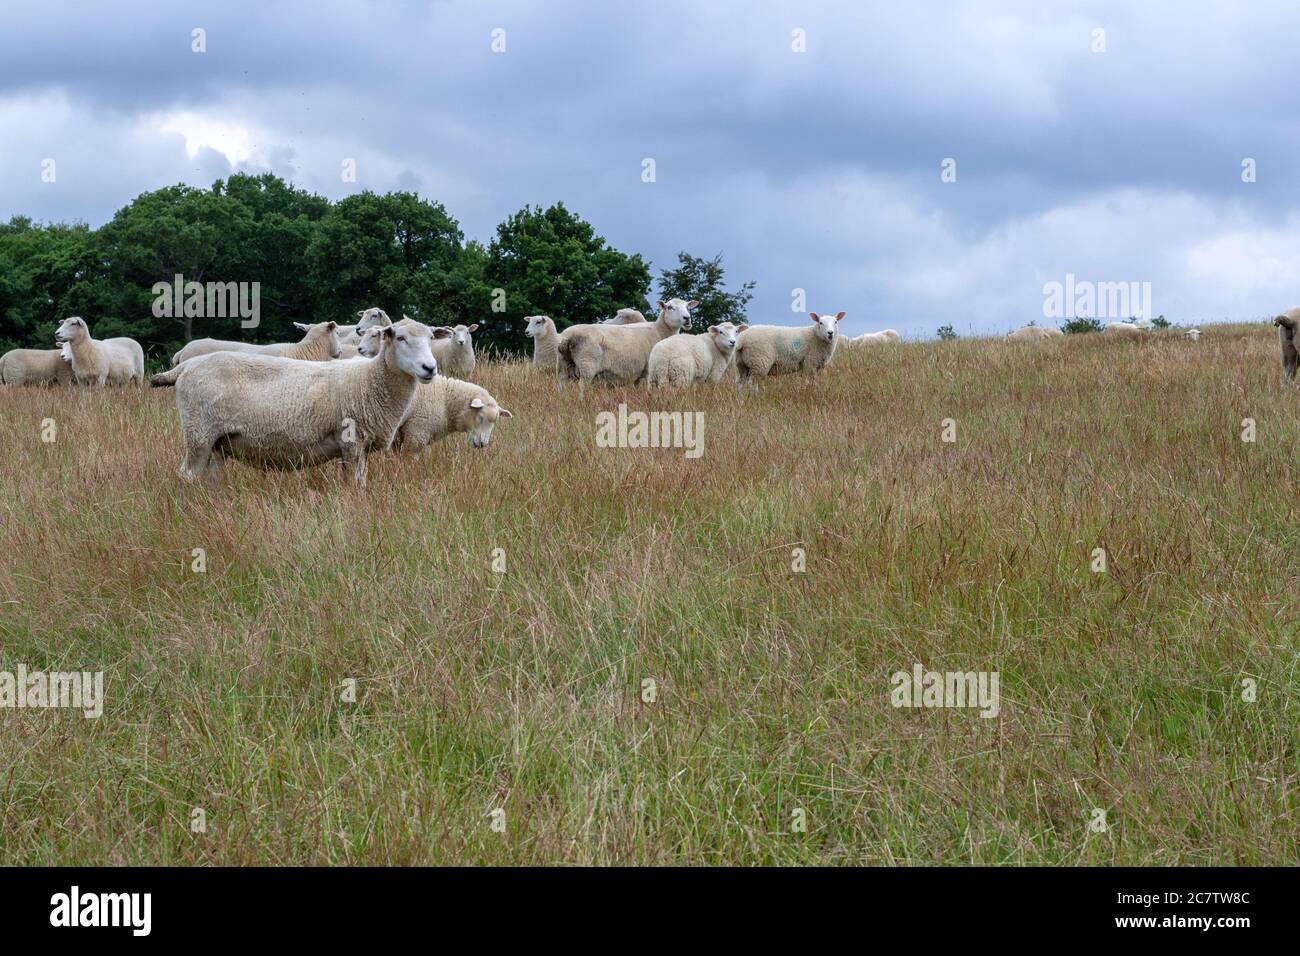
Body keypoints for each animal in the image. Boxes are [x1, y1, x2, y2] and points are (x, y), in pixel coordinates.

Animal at [559, 303, 702, 385]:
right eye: (670, 307)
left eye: (687, 307)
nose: (687, 318)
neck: (659, 331)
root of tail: (568, 336)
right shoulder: (648, 372)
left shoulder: (638, 375)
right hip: (587, 366)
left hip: (563, 367)